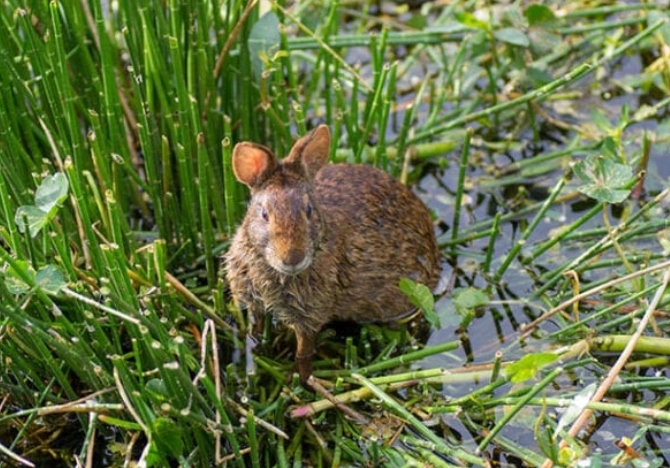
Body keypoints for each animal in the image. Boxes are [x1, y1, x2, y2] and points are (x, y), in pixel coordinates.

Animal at [225, 125, 441, 385]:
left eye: (309, 210)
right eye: (264, 214)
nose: (292, 258)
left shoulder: (309, 315)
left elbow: (304, 351)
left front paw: (301, 381)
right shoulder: (251, 300)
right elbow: (254, 329)